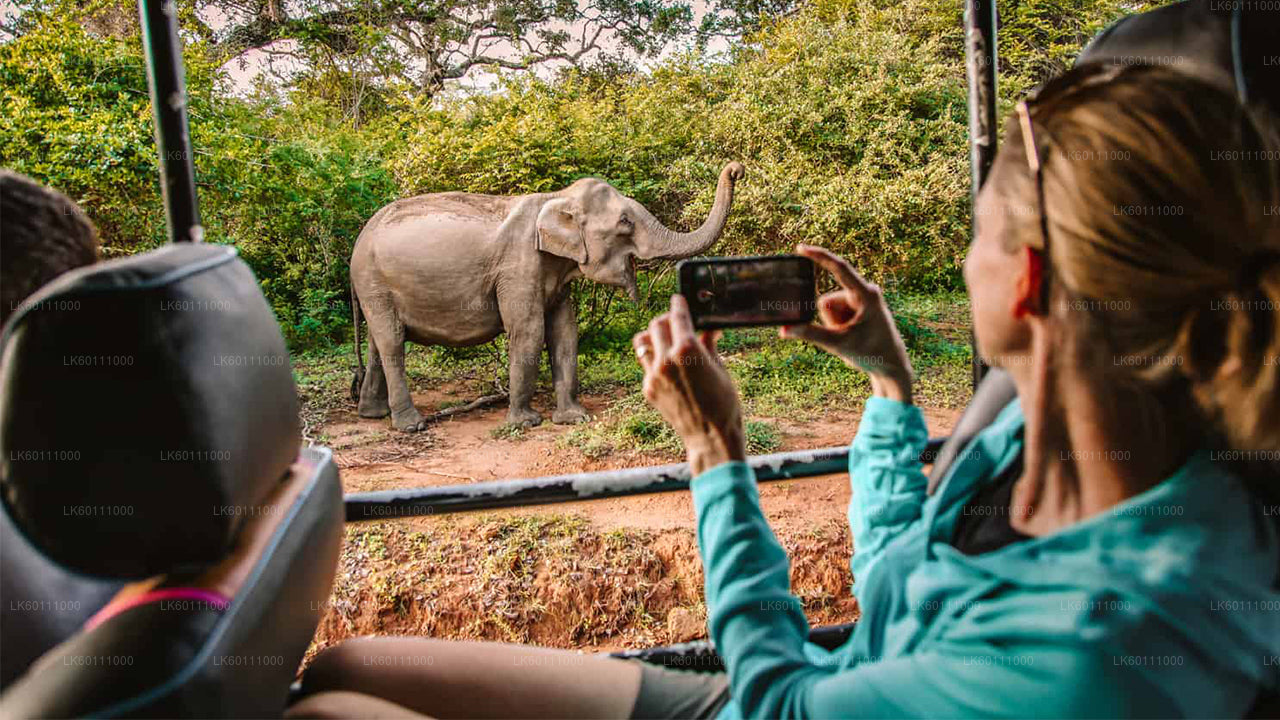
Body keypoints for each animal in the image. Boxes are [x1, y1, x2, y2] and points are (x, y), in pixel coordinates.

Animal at [353, 162, 747, 427]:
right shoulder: (518, 268)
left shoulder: (556, 275)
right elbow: (529, 331)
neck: (557, 197)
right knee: (392, 343)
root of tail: (359, 239)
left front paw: (574, 418)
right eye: (625, 223)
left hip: (373, 288)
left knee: (377, 343)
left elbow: (565, 332)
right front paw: (526, 423)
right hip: (374, 283)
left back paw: (373, 414)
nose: (736, 170)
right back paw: (411, 424)